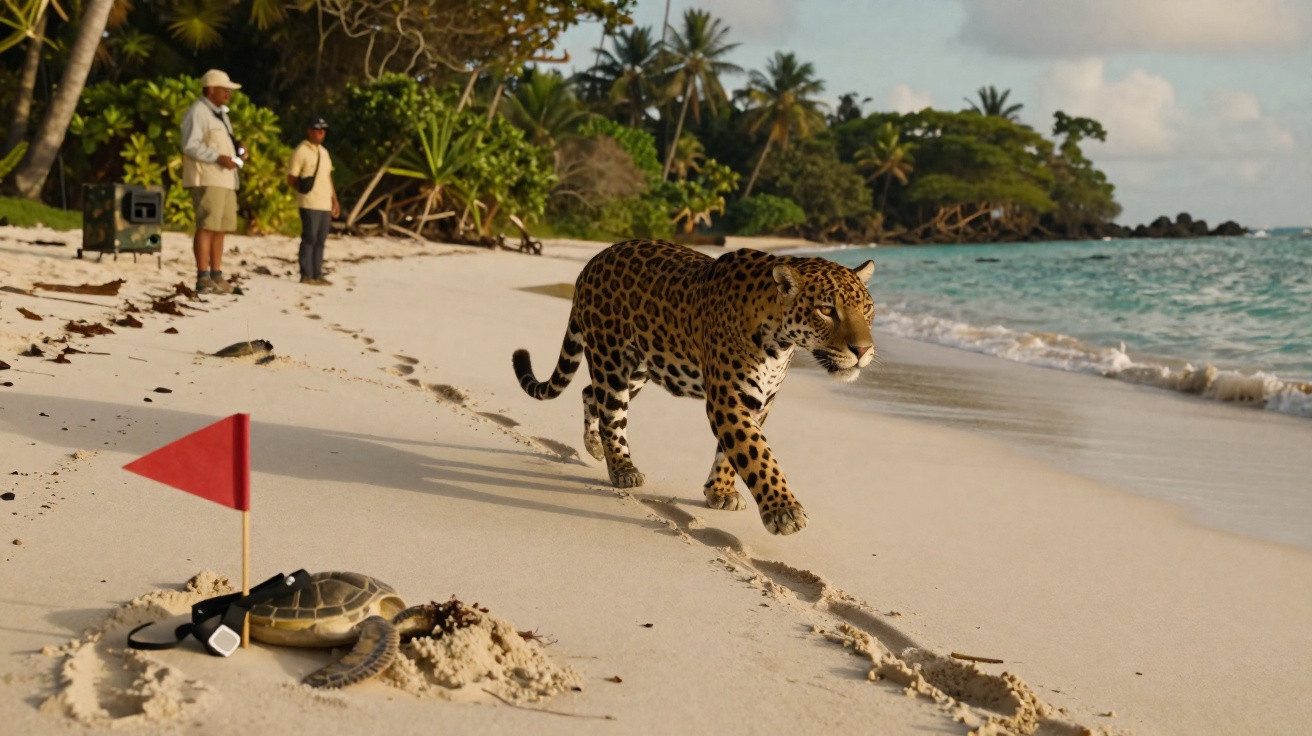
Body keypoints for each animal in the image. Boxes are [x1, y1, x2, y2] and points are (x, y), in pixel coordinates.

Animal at [512, 239, 877, 535]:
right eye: (826, 310)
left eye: (868, 309)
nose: (863, 351)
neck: (780, 344)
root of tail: (592, 262)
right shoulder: (727, 397)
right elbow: (756, 452)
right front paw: (783, 510)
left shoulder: (759, 399)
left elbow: (734, 451)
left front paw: (721, 492)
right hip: (611, 359)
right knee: (611, 414)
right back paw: (623, 469)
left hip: (641, 367)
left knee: (591, 394)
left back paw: (594, 447)